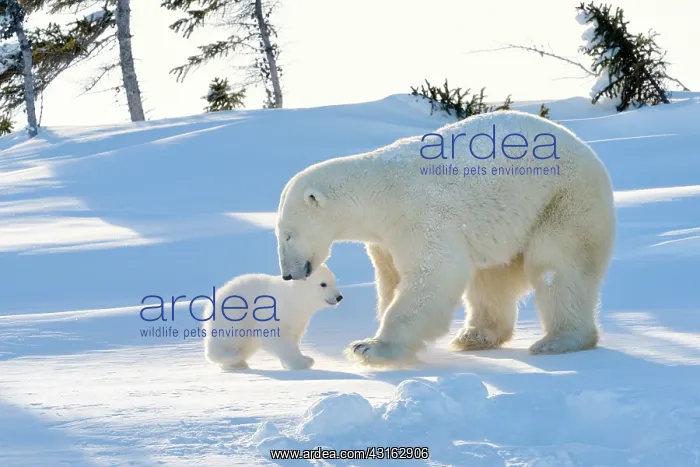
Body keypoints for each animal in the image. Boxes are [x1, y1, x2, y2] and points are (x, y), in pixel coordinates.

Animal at [203, 264, 344, 370]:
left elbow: (293, 337)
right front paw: (304, 361)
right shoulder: (275, 311)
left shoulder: (298, 319)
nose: (339, 297)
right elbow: (274, 336)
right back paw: (232, 357)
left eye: (334, 282)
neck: (294, 298)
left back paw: (237, 364)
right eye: (323, 284)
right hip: (234, 312)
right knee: (228, 337)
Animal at [275, 109, 616, 368]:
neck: (379, 193)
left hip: (563, 200)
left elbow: (433, 274)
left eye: (288, 234)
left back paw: (558, 340)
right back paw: (475, 336)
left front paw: (370, 348)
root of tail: (588, 151)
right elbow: (391, 279)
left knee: (558, 267)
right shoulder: (384, 240)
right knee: (492, 278)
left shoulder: (417, 214)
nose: (288, 274)